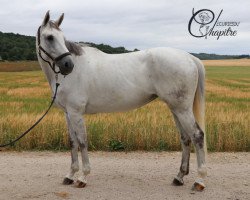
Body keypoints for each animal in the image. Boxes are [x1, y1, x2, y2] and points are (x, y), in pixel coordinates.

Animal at [36, 11, 207, 191]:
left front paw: (83, 177)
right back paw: (179, 177)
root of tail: (189, 57)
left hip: (182, 109)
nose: (68, 65)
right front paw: (70, 175)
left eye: (62, 38)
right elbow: (72, 142)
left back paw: (199, 180)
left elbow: (82, 142)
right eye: (49, 37)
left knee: (197, 136)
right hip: (176, 109)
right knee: (185, 138)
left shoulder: (76, 113)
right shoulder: (68, 113)